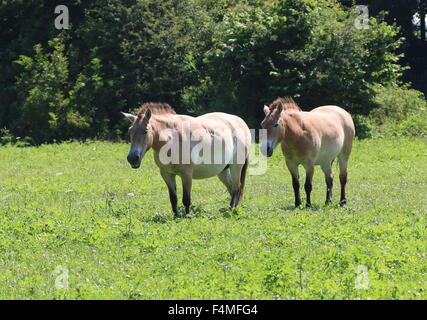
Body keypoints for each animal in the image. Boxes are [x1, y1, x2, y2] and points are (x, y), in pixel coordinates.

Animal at [122, 102, 252, 218]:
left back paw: (231, 211)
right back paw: (232, 209)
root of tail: (241, 122)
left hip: (236, 167)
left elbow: (186, 199)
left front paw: (188, 217)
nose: (132, 158)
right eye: (130, 131)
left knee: (236, 188)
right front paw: (176, 217)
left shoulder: (187, 174)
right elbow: (173, 198)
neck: (172, 139)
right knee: (232, 188)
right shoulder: (167, 174)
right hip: (223, 171)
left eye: (145, 131)